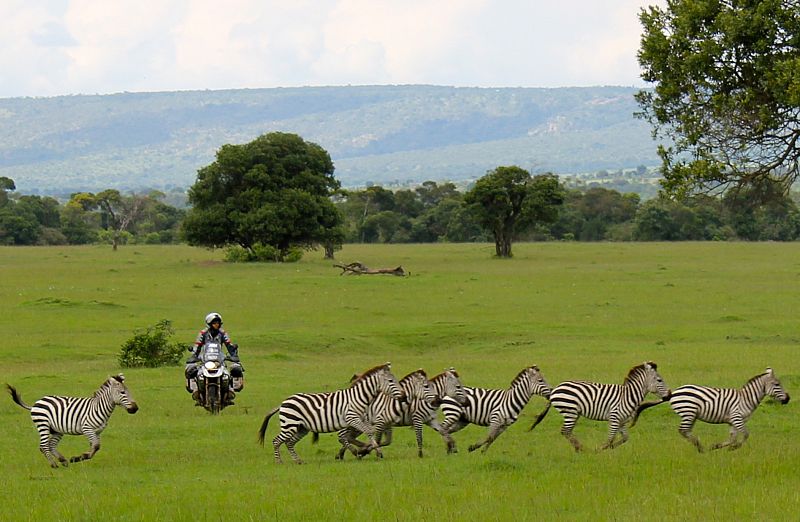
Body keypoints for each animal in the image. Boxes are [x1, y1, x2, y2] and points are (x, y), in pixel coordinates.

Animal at [6, 374, 139, 468]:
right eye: (122, 392)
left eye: (129, 392)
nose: (135, 408)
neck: (99, 407)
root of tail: (36, 402)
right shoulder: (87, 428)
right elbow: (96, 446)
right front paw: (80, 457)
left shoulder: (97, 432)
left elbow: (95, 446)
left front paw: (80, 457)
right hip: (43, 424)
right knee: (43, 445)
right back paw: (54, 465)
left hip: (57, 430)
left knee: (51, 445)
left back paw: (63, 461)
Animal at [257, 362, 405, 464]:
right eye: (391, 381)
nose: (404, 397)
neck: (359, 397)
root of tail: (283, 402)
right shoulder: (352, 418)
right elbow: (367, 432)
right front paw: (372, 451)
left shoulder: (361, 419)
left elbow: (367, 432)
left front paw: (367, 449)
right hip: (290, 425)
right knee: (276, 441)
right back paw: (279, 462)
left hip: (302, 428)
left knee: (289, 443)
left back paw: (298, 461)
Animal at [530, 361, 670, 452]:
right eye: (659, 380)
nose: (669, 395)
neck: (628, 395)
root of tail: (555, 389)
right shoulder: (614, 418)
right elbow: (610, 438)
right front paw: (600, 450)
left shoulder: (622, 421)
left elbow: (625, 438)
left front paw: (611, 447)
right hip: (570, 411)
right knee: (565, 431)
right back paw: (582, 449)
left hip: (574, 413)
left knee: (568, 432)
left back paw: (579, 448)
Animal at [634, 367, 790, 452]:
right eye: (777, 384)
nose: (787, 399)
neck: (746, 398)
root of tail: (673, 392)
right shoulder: (737, 418)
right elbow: (745, 435)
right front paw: (734, 448)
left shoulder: (732, 422)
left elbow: (732, 438)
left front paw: (718, 446)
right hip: (688, 412)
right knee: (683, 430)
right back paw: (700, 447)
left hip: (692, 415)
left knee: (686, 431)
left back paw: (701, 447)